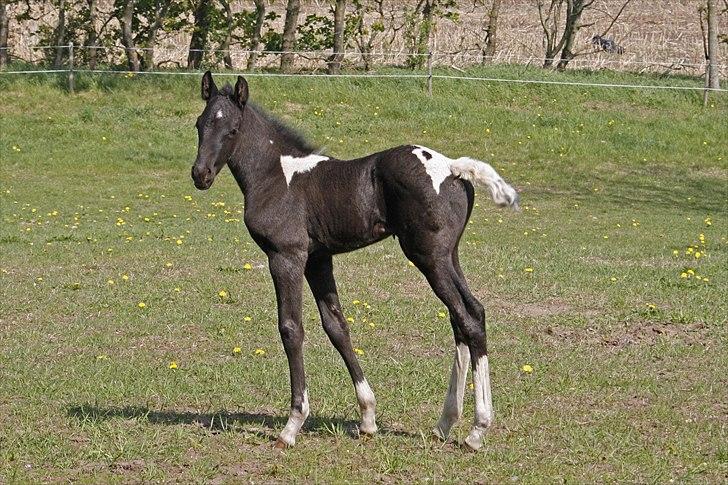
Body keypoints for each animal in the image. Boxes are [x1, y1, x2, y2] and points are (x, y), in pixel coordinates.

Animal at [188, 72, 516, 450]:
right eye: (200, 124)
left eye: (233, 129)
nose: (200, 175)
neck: (276, 175)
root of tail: (452, 167)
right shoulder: (318, 260)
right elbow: (337, 327)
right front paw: (368, 418)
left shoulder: (286, 256)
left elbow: (291, 329)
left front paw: (292, 425)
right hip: (449, 256)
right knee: (466, 316)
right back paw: (446, 422)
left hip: (429, 257)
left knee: (468, 319)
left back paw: (477, 430)